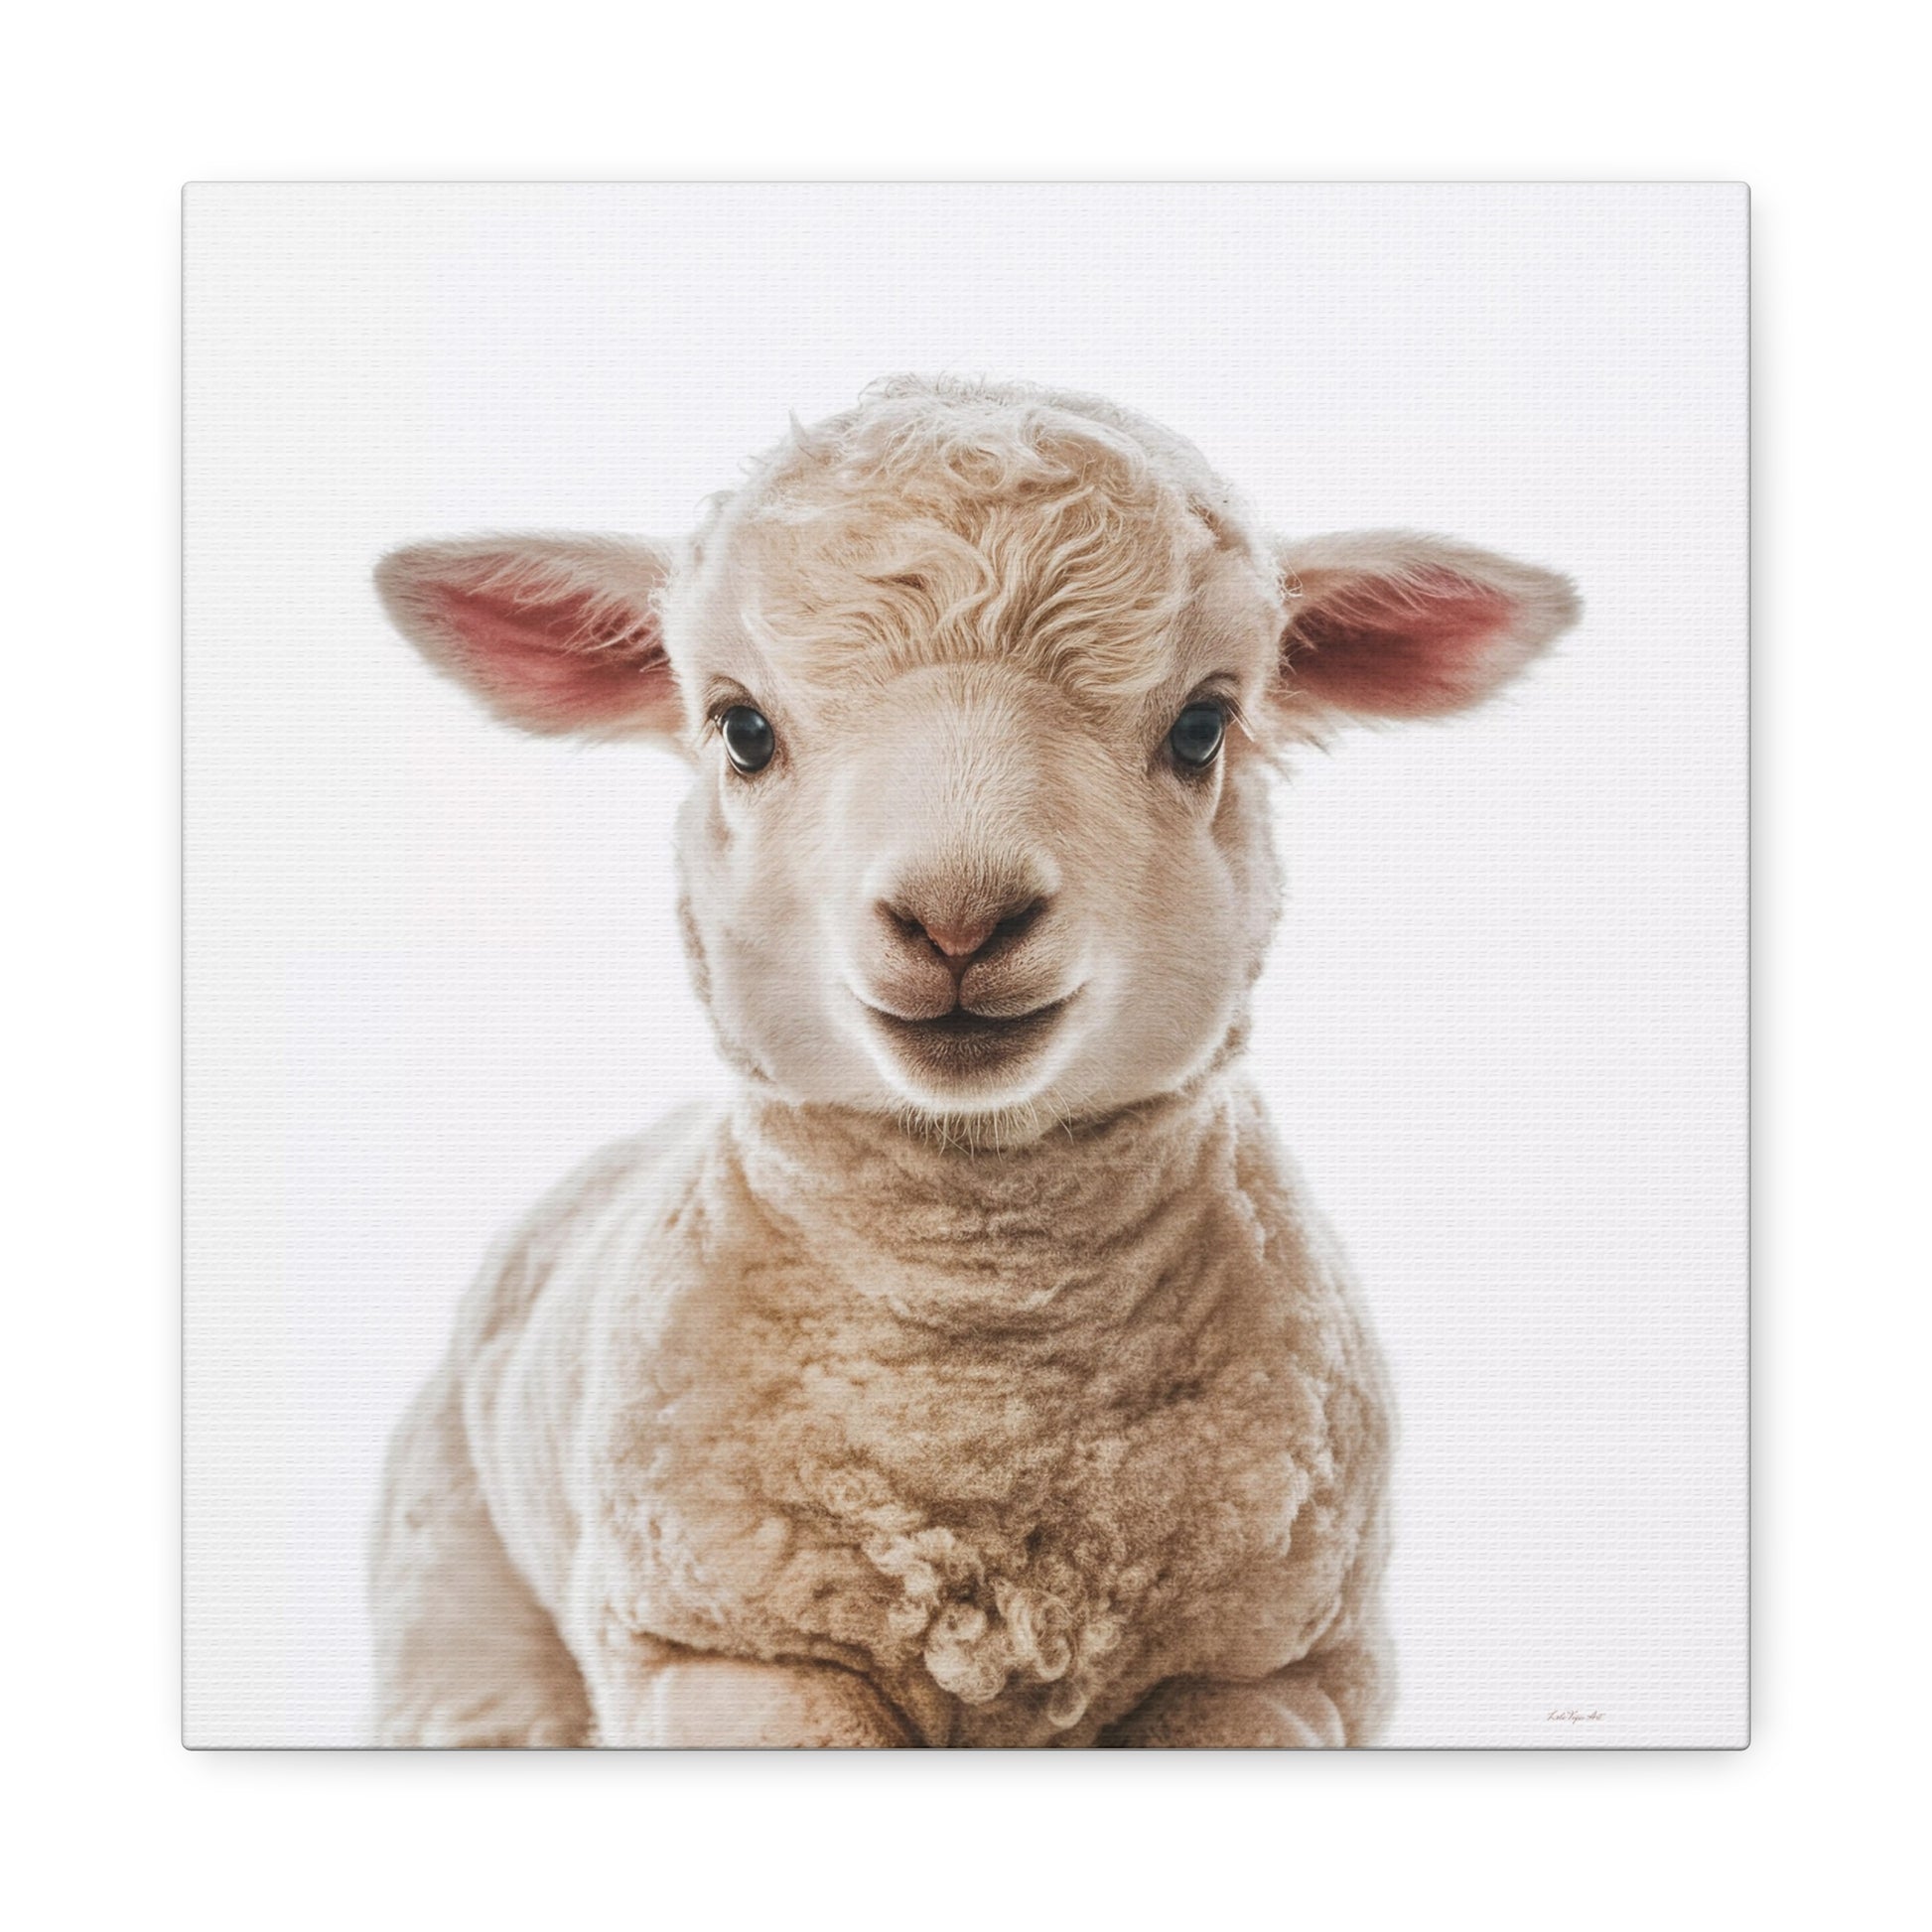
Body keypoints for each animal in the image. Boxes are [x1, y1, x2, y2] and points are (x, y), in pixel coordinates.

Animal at [368, 375, 1580, 1747]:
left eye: (1202, 725)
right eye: (741, 730)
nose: (958, 917)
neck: (984, 1381)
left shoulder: (1278, 1668)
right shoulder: (723, 1651)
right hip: (460, 1601)